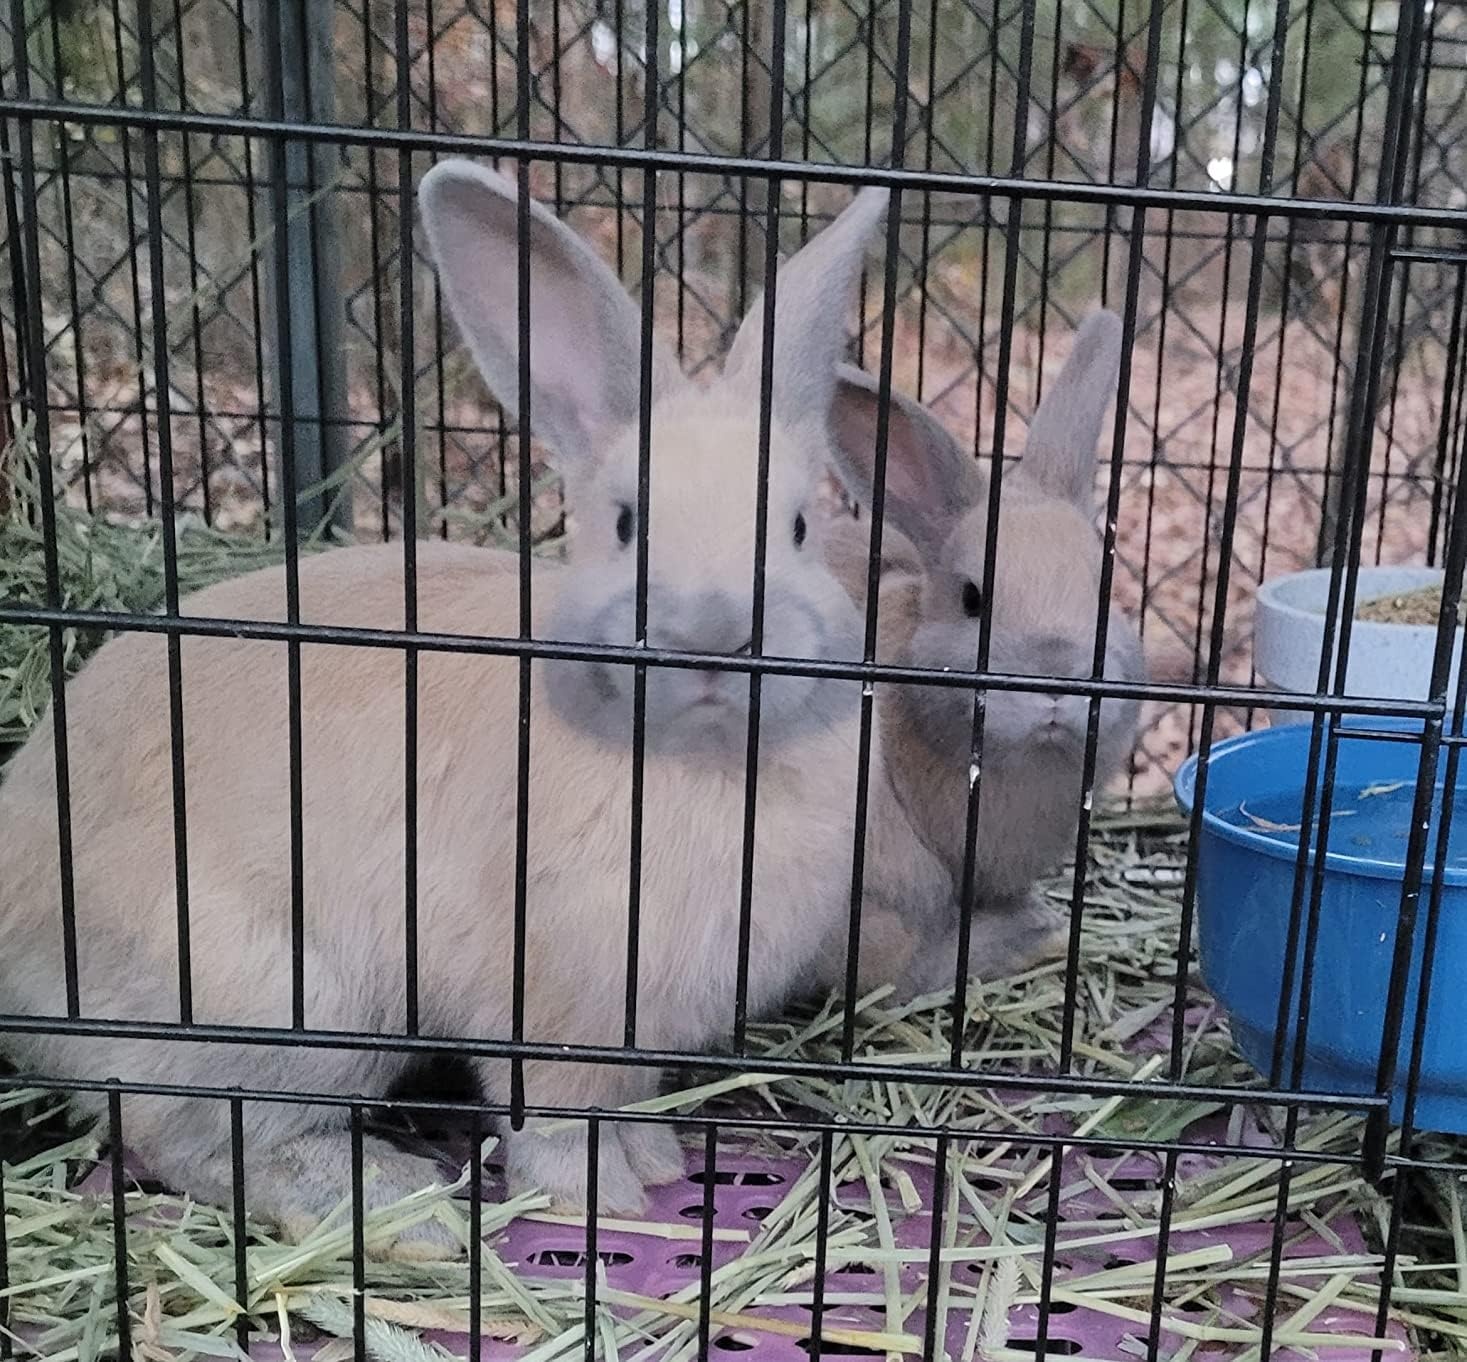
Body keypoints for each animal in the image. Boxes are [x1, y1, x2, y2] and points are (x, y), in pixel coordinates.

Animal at [0, 162, 953, 1253]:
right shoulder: (547, 1013)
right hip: (277, 1006)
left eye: (796, 527)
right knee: (195, 1139)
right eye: (624, 524)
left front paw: (656, 1162)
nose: (714, 631)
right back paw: (396, 1205)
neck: (704, 758)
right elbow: (552, 1118)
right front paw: (602, 1197)